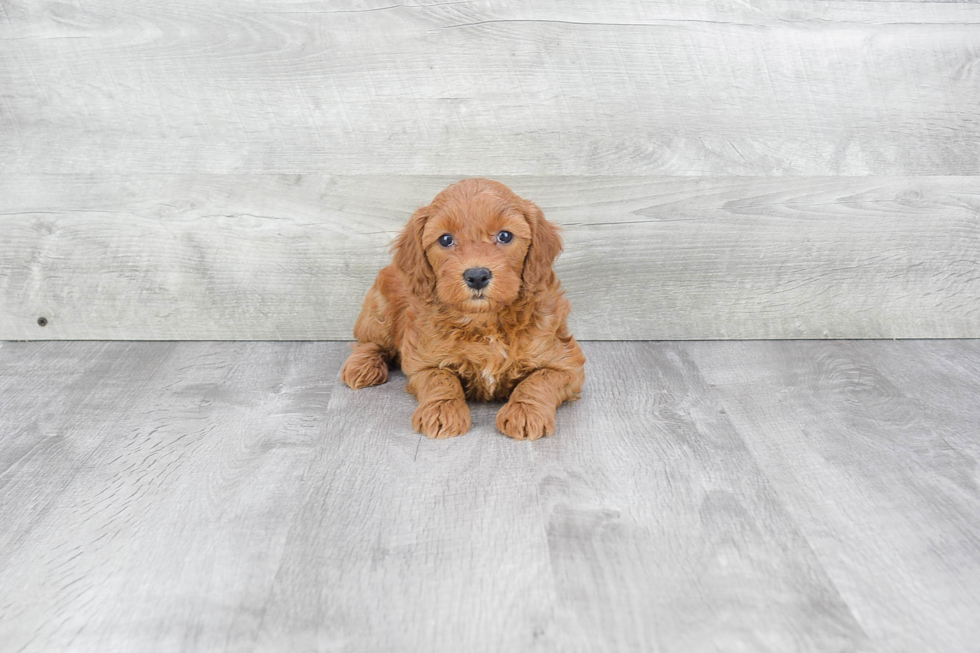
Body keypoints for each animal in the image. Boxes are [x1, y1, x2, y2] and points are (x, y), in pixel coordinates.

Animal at [342, 178, 580, 438]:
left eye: (505, 236)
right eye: (445, 239)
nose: (477, 276)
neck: (484, 322)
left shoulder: (566, 362)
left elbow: (540, 380)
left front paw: (525, 411)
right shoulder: (421, 360)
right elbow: (440, 378)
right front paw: (442, 410)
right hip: (379, 311)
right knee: (370, 343)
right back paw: (362, 367)